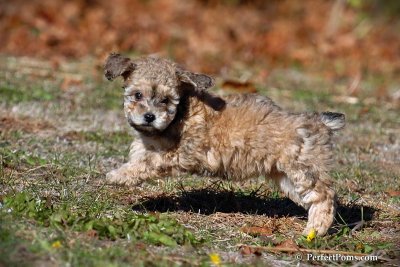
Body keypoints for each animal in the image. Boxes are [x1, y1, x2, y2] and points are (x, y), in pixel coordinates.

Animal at [104, 52, 346, 237]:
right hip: (287, 177)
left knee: (324, 197)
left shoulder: (178, 153)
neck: (180, 114)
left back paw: (314, 231)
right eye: (137, 95)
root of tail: (319, 121)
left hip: (303, 169)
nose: (149, 116)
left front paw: (118, 176)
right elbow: (140, 155)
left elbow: (147, 163)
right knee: (312, 198)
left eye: (166, 100)